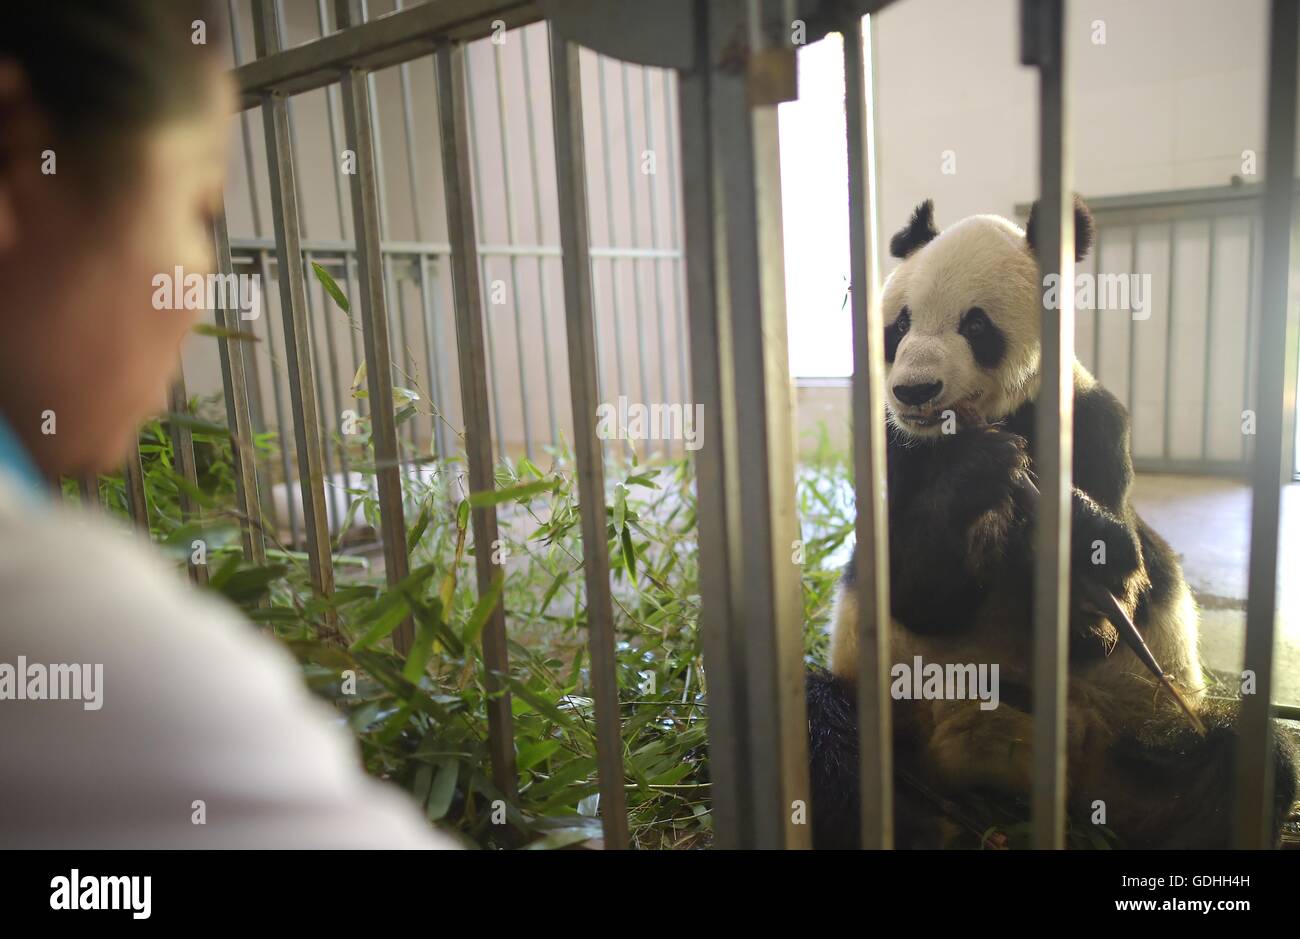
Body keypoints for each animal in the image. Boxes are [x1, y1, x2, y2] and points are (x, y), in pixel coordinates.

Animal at [806, 197, 1294, 847]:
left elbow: (1113, 593)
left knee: (1244, 756)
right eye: (899, 326)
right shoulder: (895, 448)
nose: (915, 391)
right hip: (889, 714)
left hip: (1134, 734)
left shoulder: (1094, 423)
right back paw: (925, 827)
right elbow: (912, 588)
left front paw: (1077, 554)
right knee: (823, 732)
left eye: (976, 326)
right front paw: (981, 472)